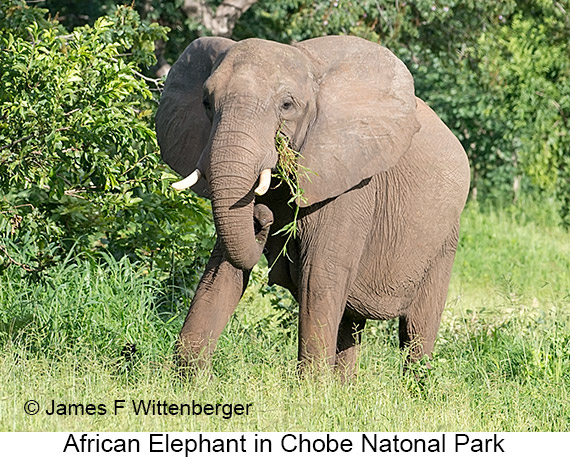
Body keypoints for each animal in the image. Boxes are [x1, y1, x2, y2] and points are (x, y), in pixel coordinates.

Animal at [154, 35, 466, 376]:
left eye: (287, 105)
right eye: (207, 103)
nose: (261, 218)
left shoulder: (350, 187)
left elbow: (318, 276)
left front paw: (311, 388)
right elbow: (222, 270)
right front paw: (189, 379)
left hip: (445, 240)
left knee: (416, 329)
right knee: (349, 322)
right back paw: (344, 387)